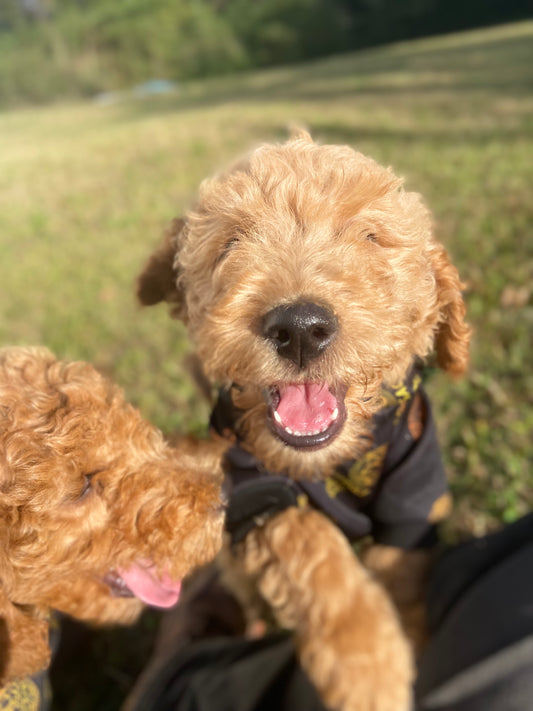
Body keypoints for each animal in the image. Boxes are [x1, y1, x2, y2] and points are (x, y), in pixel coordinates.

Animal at [137, 134, 470, 711]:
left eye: (371, 237)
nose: (299, 328)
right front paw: (369, 672)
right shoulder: (256, 489)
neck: (332, 464)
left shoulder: (414, 491)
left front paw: (411, 641)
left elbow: (402, 570)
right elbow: (313, 547)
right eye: (229, 244)